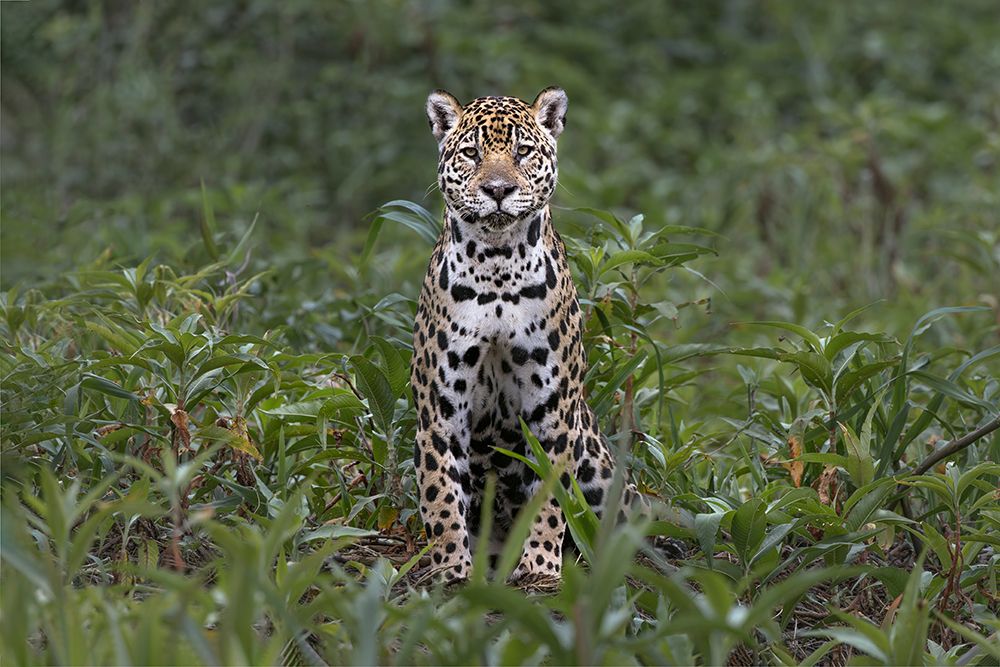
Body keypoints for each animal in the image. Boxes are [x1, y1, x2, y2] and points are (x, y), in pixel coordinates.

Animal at [411, 87, 647, 585]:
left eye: (522, 152)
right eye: (471, 154)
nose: (498, 190)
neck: (498, 266)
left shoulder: (552, 409)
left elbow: (550, 496)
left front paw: (539, 565)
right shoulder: (440, 412)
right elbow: (441, 497)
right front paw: (453, 569)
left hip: (598, 464)